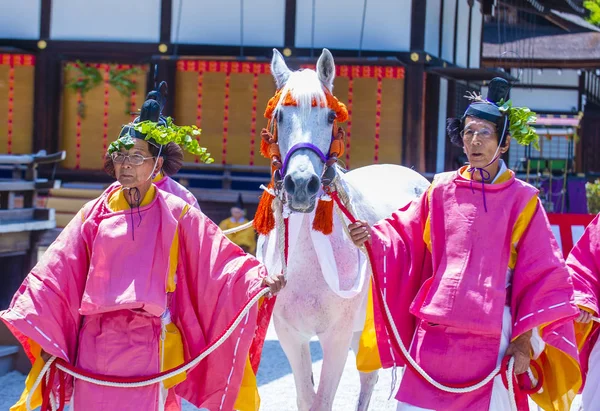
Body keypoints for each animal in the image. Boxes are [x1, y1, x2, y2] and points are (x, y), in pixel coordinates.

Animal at [255, 49, 428, 411]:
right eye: (280, 115)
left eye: (331, 116)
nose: (301, 184)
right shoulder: (291, 334)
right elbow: (306, 399)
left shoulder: (335, 335)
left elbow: (322, 402)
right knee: (368, 378)